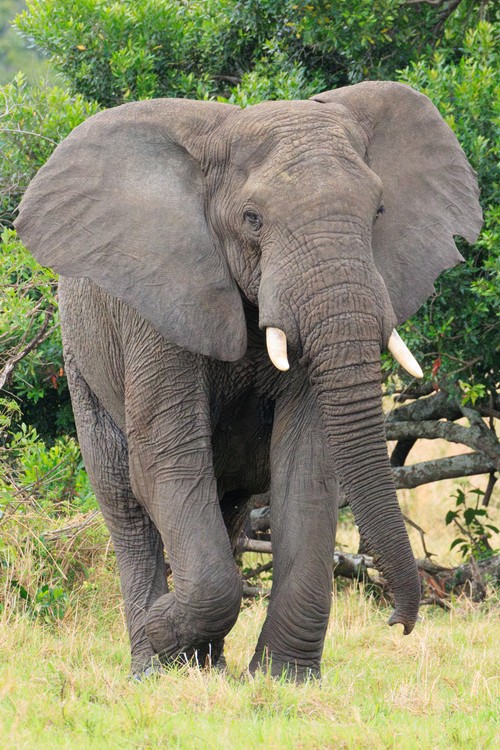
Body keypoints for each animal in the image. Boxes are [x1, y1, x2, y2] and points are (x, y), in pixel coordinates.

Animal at [15, 81, 482, 680]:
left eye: (378, 210)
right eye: (253, 218)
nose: (397, 622)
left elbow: (307, 465)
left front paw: (284, 678)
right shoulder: (160, 302)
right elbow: (166, 463)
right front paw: (163, 630)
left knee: (229, 503)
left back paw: (204, 668)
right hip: (82, 360)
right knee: (125, 501)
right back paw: (153, 666)